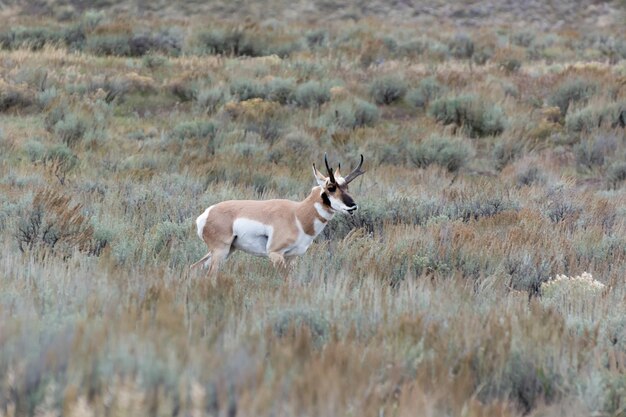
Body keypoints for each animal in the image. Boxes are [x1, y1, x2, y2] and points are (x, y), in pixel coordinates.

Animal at [193, 154, 364, 274]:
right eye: (331, 187)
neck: (298, 215)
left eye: (346, 186)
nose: (353, 206)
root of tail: (206, 214)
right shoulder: (276, 254)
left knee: (194, 267)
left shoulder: (292, 257)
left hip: (227, 250)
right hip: (220, 251)